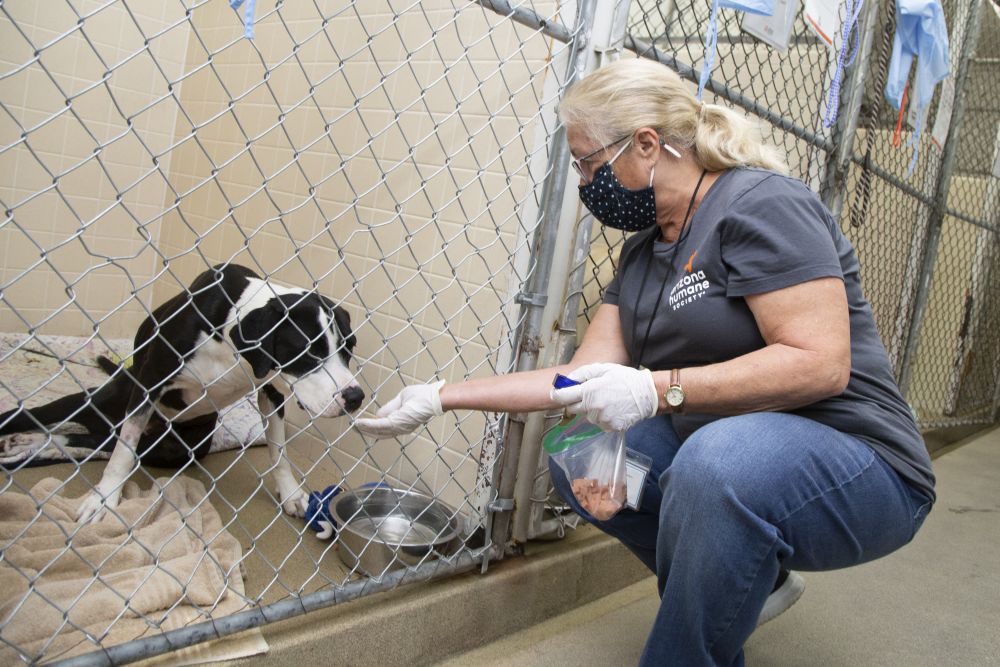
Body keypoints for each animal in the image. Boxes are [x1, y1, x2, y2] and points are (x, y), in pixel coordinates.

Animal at [0, 264, 366, 524]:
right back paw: (20, 437)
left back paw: (34, 444)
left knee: (88, 441)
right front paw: (104, 499)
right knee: (48, 421)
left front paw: (290, 494)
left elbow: (279, 451)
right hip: (100, 401)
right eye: (310, 352)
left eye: (349, 348)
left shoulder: (271, 392)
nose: (355, 398)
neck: (230, 334)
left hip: (182, 447)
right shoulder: (149, 383)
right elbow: (122, 456)